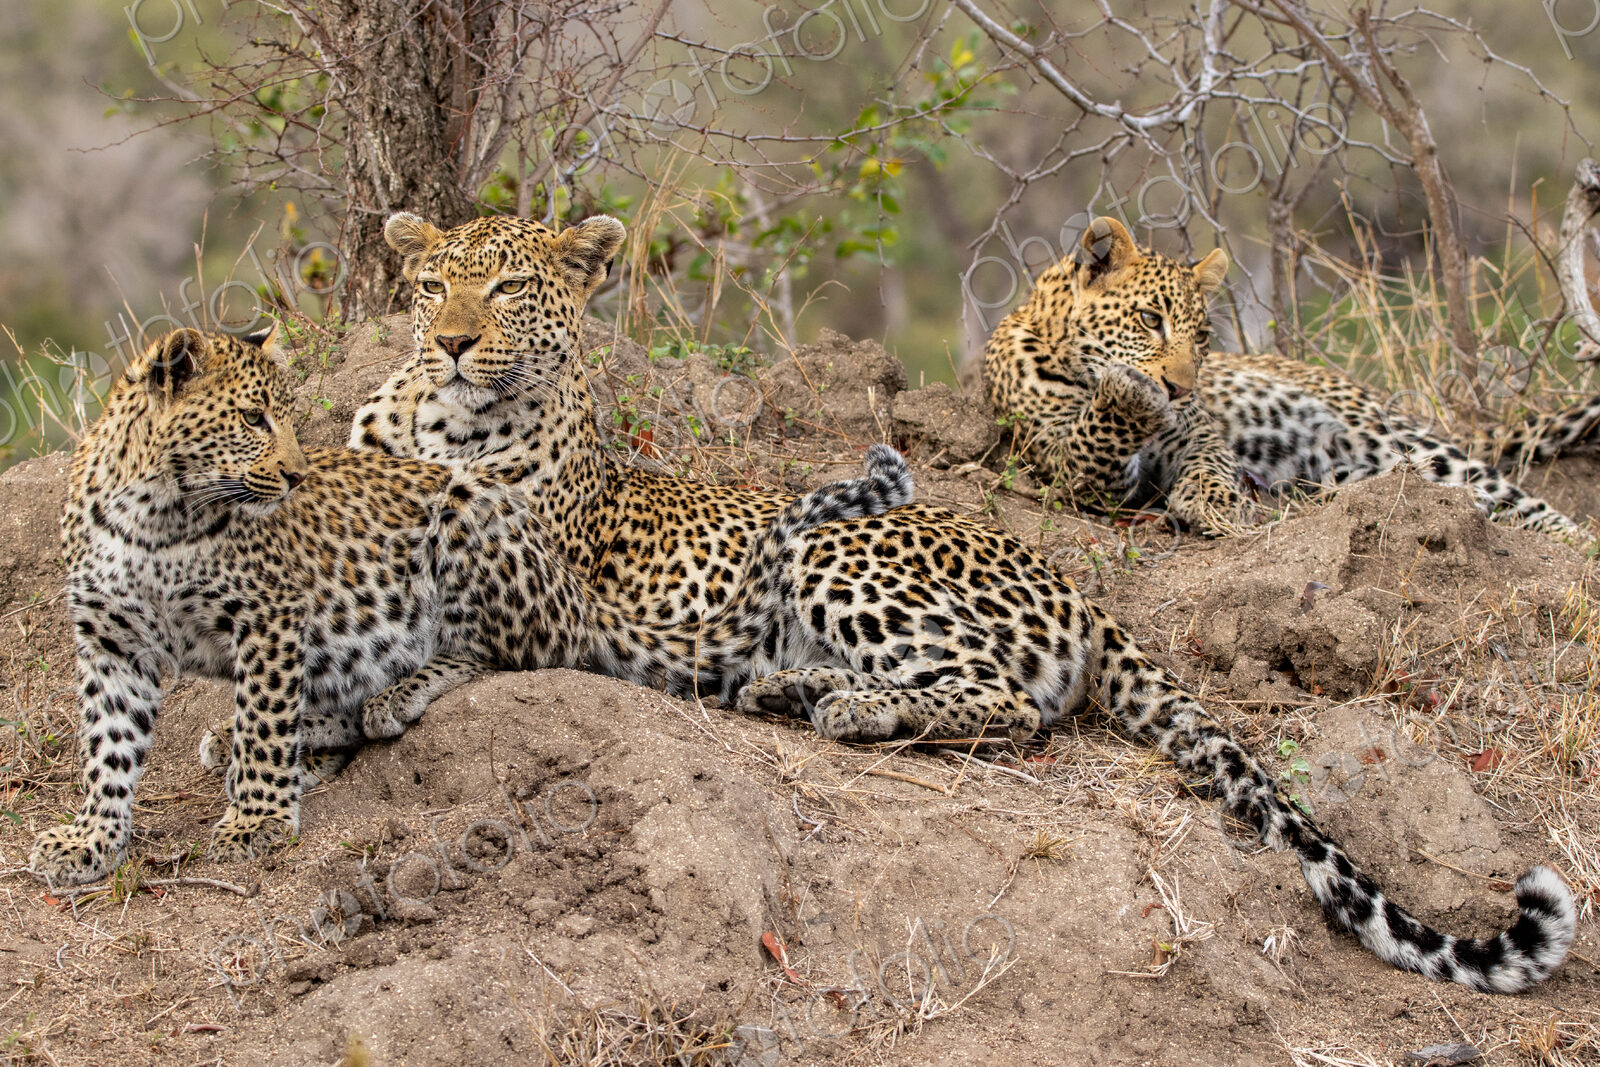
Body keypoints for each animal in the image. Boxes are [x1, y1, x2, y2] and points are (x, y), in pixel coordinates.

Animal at [28, 325, 913, 887]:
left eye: (280, 418)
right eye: (252, 418)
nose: (294, 474)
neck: (158, 512)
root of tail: (570, 586)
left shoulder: (270, 617)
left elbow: (264, 719)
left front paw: (257, 820)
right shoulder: (108, 641)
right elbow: (108, 749)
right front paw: (90, 840)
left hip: (464, 514)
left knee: (509, 652)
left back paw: (392, 694)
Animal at [982, 215, 1592, 538]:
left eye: (1201, 338)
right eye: (1150, 320)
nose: (1179, 389)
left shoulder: (1199, 434)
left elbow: (1210, 461)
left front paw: (1216, 503)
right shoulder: (1077, 467)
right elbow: (1095, 443)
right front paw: (1129, 396)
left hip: (1394, 439)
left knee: (1518, 499)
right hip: (1354, 468)